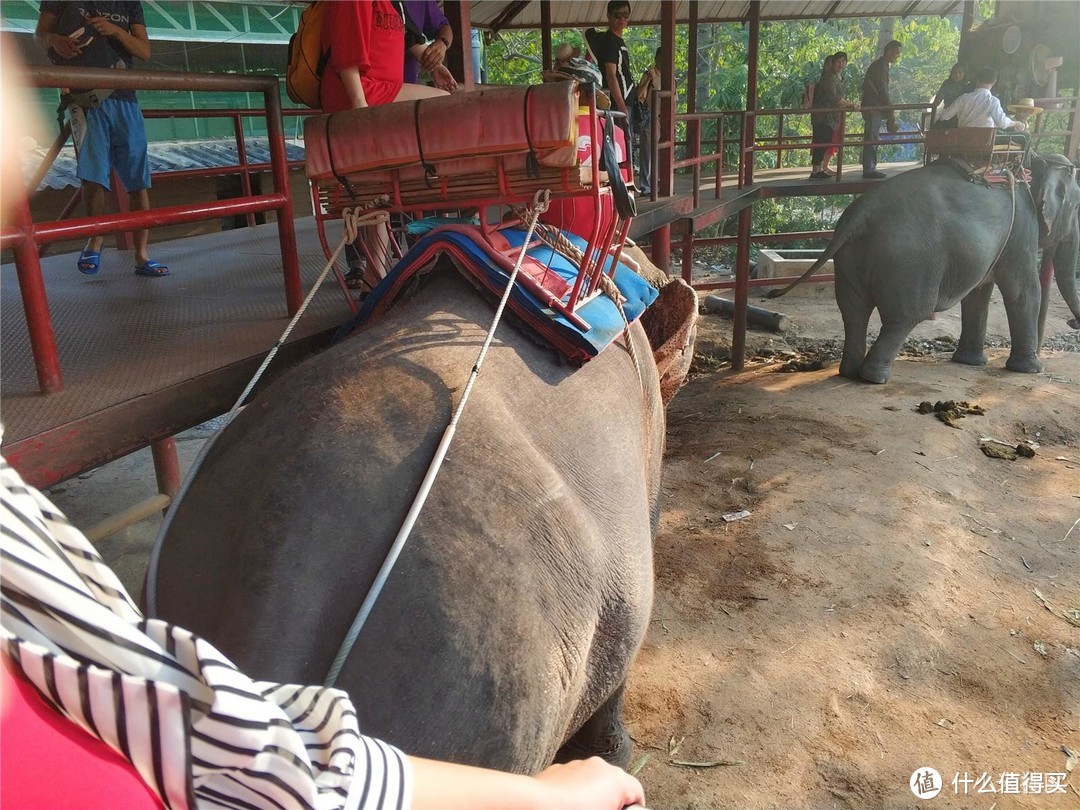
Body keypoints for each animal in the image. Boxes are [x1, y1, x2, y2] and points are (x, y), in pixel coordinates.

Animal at [768, 153, 1080, 386]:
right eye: (1078, 208)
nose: (1072, 323)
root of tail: (860, 214)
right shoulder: (1021, 230)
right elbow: (1022, 291)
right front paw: (1031, 370)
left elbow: (978, 293)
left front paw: (971, 363)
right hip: (911, 262)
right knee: (907, 314)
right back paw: (873, 378)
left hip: (852, 258)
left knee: (854, 311)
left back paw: (850, 372)